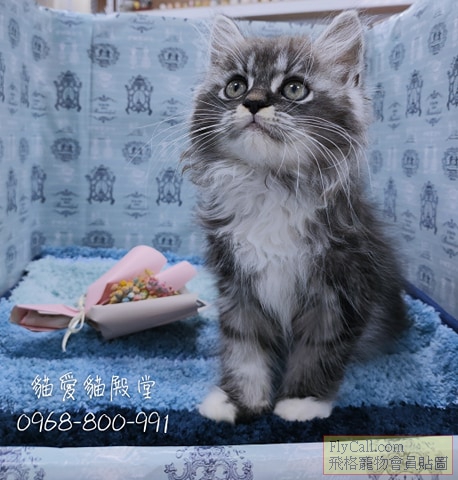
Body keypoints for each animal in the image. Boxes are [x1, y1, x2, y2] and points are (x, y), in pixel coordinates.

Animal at [182, 12, 409, 423]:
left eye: (293, 89)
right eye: (235, 87)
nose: (253, 103)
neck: (270, 185)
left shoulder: (341, 289)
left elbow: (318, 349)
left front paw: (301, 402)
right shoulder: (237, 288)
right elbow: (243, 347)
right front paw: (238, 400)